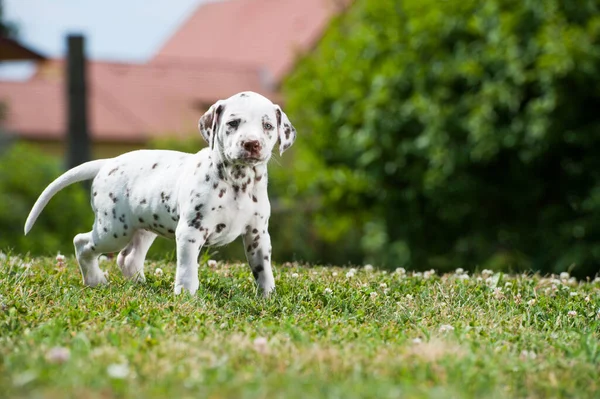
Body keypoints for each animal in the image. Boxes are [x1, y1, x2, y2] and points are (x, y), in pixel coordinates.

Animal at [25, 91, 298, 296]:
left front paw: (267, 296)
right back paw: (94, 280)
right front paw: (186, 295)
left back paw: (139, 285)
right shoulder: (190, 232)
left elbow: (263, 269)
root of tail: (109, 162)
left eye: (267, 126)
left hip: (142, 229)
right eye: (232, 123)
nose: (252, 144)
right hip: (113, 230)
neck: (237, 183)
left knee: (128, 259)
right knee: (82, 243)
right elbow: (187, 269)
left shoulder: (258, 234)